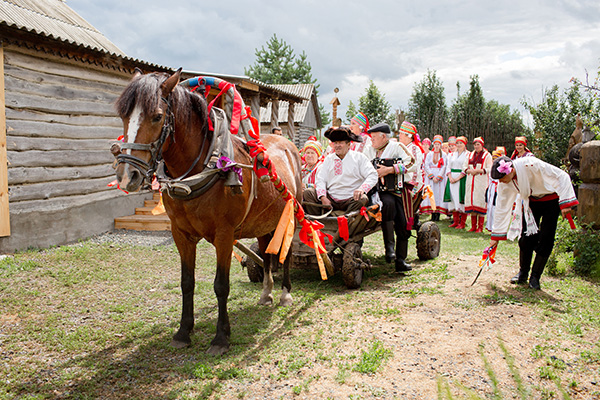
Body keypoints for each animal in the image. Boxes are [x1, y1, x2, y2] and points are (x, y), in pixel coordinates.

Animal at [112, 68, 303, 355]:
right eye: (124, 116)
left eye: (157, 116)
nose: (127, 176)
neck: (200, 170)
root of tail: (285, 143)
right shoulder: (181, 235)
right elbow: (187, 283)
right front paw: (183, 331)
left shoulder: (224, 235)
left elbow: (221, 285)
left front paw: (221, 337)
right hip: (265, 222)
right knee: (267, 254)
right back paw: (266, 293)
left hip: (289, 216)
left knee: (286, 255)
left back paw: (285, 293)